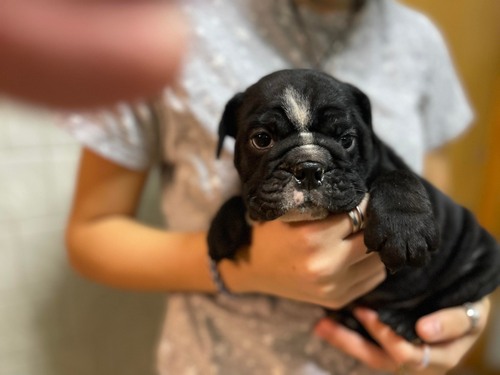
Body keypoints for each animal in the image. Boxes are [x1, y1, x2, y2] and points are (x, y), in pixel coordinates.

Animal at [206, 69, 500, 342]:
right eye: (262, 139)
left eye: (346, 140)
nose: (309, 167)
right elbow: (244, 197)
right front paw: (221, 229)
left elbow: (399, 176)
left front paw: (404, 231)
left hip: (482, 260)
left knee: (445, 299)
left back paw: (404, 321)